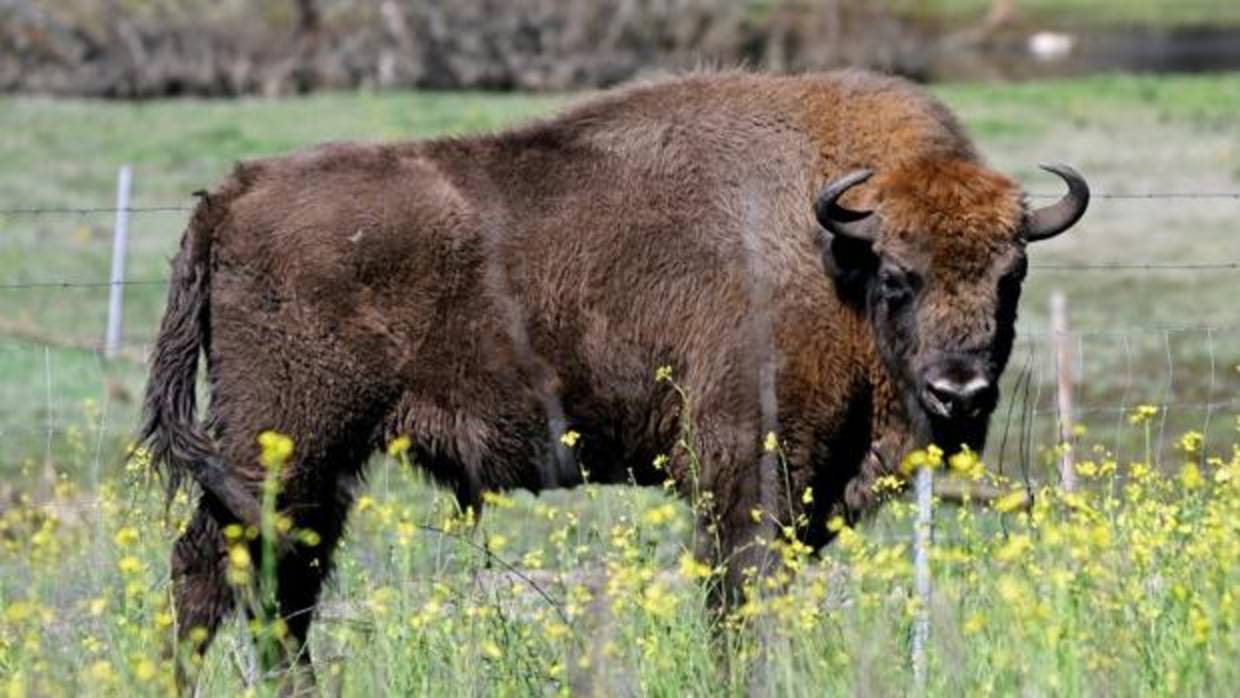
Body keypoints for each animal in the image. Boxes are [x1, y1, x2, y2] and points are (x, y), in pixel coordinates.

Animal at [145, 68, 1086, 689]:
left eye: (1011, 277)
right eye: (899, 276)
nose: (959, 392)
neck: (830, 255)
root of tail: (234, 192)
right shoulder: (748, 464)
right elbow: (739, 589)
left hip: (313, 460)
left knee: (271, 577)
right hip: (288, 439)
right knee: (227, 568)